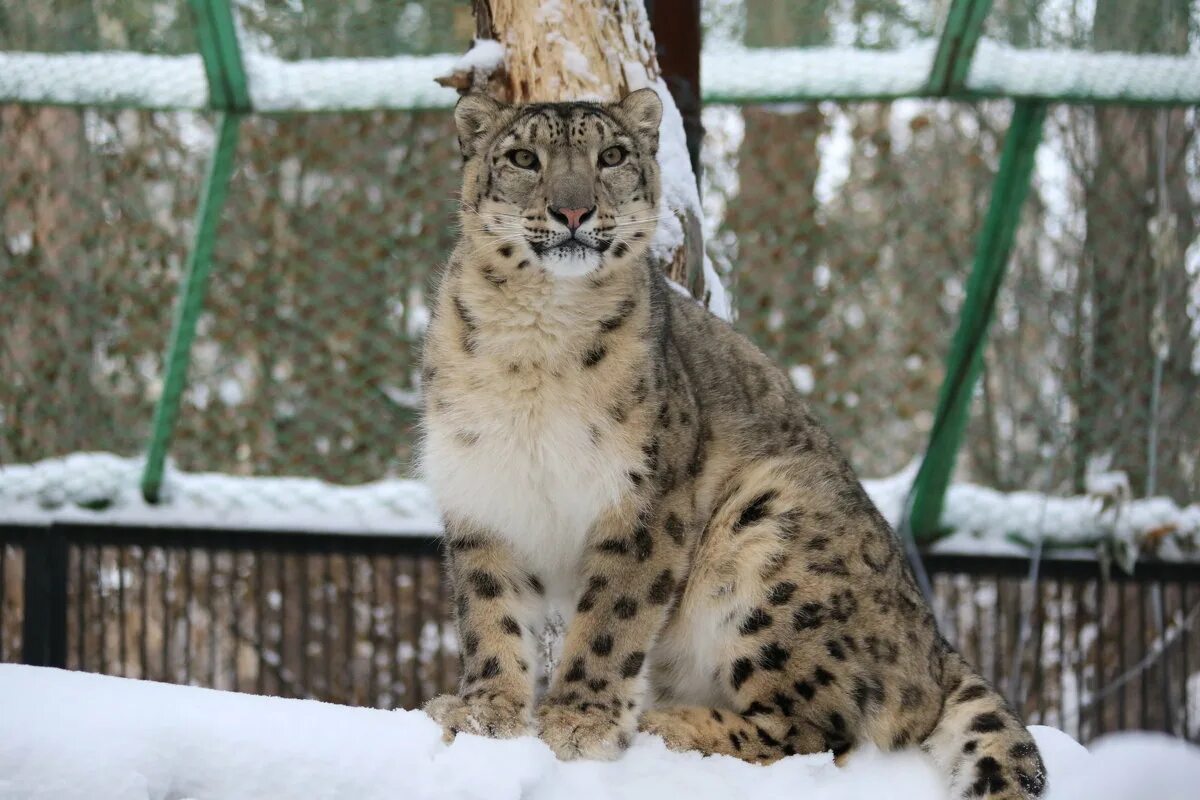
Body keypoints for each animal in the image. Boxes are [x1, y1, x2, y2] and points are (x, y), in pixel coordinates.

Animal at [417, 89, 1046, 800]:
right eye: (524, 158)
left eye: (612, 156)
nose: (573, 210)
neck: (534, 344)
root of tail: (934, 647)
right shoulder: (482, 489)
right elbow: (490, 611)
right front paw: (485, 712)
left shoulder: (644, 499)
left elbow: (611, 617)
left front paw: (579, 721)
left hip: (771, 540)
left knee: (818, 728)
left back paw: (673, 724)